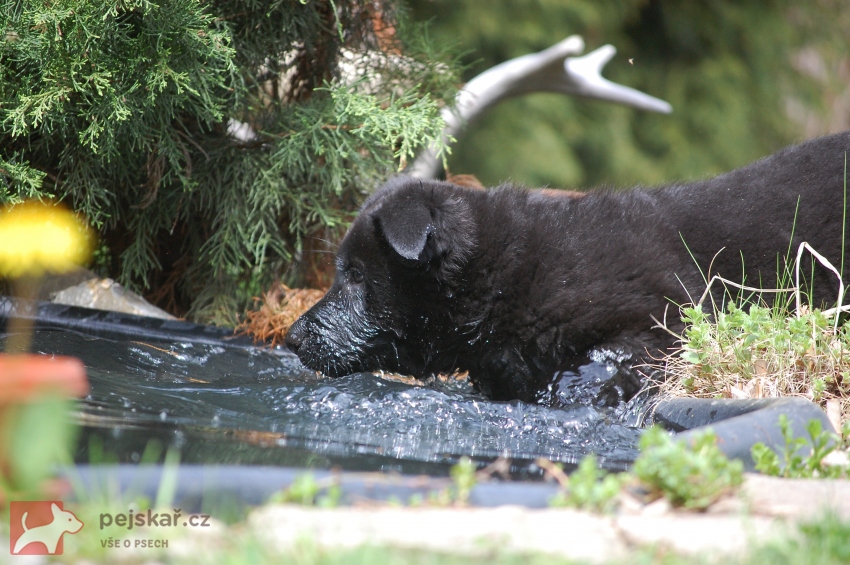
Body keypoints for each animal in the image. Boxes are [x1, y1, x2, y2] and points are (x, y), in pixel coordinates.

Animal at [286, 132, 848, 400]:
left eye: (355, 276)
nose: (290, 338)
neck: (512, 273)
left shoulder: (664, 313)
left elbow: (603, 359)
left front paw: (572, 390)